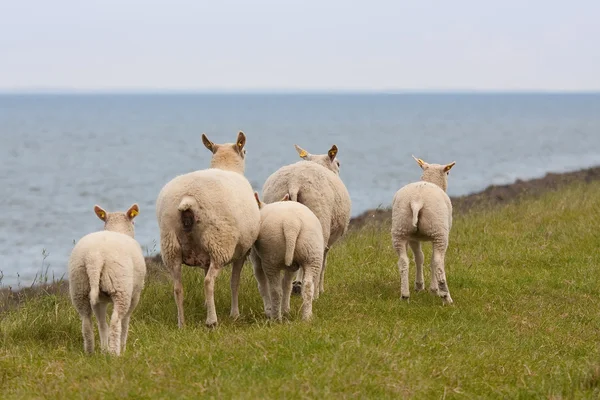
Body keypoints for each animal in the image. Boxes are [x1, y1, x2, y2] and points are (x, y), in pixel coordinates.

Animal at [68, 205, 146, 354]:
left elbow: (102, 323)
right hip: (120, 287)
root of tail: (94, 256)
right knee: (116, 321)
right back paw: (115, 352)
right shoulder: (135, 295)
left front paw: (104, 349)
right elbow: (126, 321)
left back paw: (91, 352)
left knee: (87, 321)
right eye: (133, 222)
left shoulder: (101, 300)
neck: (117, 229)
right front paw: (123, 347)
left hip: (80, 286)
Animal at [248, 192, 324, 320]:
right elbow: (287, 285)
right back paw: (307, 317)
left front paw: (269, 310)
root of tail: (292, 224)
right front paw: (286, 310)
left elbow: (263, 285)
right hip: (312, 251)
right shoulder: (293, 267)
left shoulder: (256, 261)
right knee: (308, 286)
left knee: (275, 290)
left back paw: (275, 317)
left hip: (271, 255)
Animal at [262, 145, 352, 296]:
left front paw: (297, 283)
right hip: (320, 219)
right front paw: (320, 289)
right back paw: (314, 293)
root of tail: (294, 182)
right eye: (338, 164)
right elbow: (324, 263)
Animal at [392, 155, 458, 304]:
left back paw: (405, 295)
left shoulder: (413, 238)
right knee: (438, 262)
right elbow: (432, 260)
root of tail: (417, 201)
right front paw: (434, 290)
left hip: (400, 229)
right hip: (439, 231)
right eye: (448, 173)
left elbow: (419, 257)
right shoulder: (435, 235)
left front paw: (419, 286)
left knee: (403, 261)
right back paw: (446, 297)